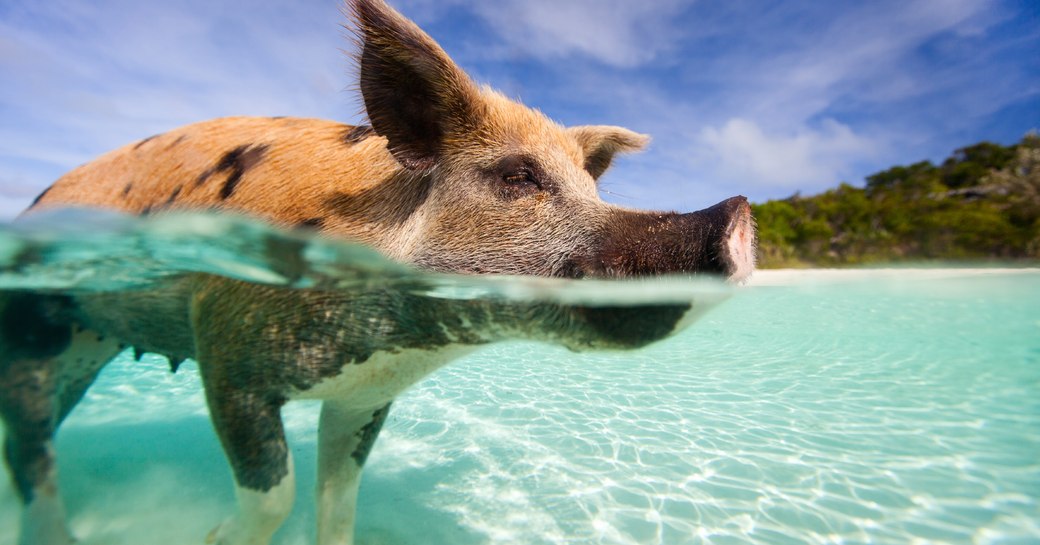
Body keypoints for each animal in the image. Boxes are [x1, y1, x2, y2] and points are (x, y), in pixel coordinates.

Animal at [0, 1, 752, 545]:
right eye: (518, 177)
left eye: (592, 190)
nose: (737, 214)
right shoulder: (224, 351)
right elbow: (275, 494)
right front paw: (211, 536)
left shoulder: (364, 394)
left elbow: (339, 502)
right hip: (35, 327)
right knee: (33, 448)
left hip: (87, 344)